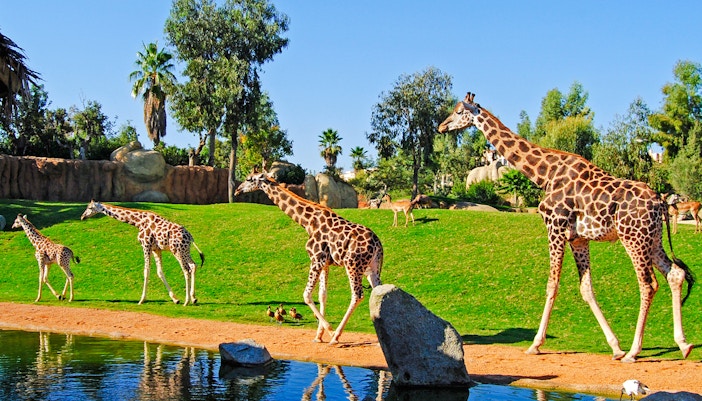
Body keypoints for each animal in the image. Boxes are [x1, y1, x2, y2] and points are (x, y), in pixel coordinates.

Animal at [234, 172, 383, 344]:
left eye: (249, 179)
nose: (237, 190)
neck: (307, 222)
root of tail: (378, 243)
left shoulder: (316, 258)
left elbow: (306, 295)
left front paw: (329, 330)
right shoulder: (325, 263)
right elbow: (322, 295)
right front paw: (319, 335)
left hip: (353, 265)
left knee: (357, 295)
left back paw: (336, 336)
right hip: (372, 268)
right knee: (379, 291)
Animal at [438, 92, 695, 362]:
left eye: (458, 111)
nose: (442, 126)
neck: (545, 174)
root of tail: (660, 202)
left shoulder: (555, 227)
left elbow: (552, 284)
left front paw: (535, 344)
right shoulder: (578, 238)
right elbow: (586, 288)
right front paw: (615, 347)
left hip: (633, 238)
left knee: (648, 284)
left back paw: (635, 351)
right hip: (652, 239)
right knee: (675, 274)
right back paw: (683, 344)